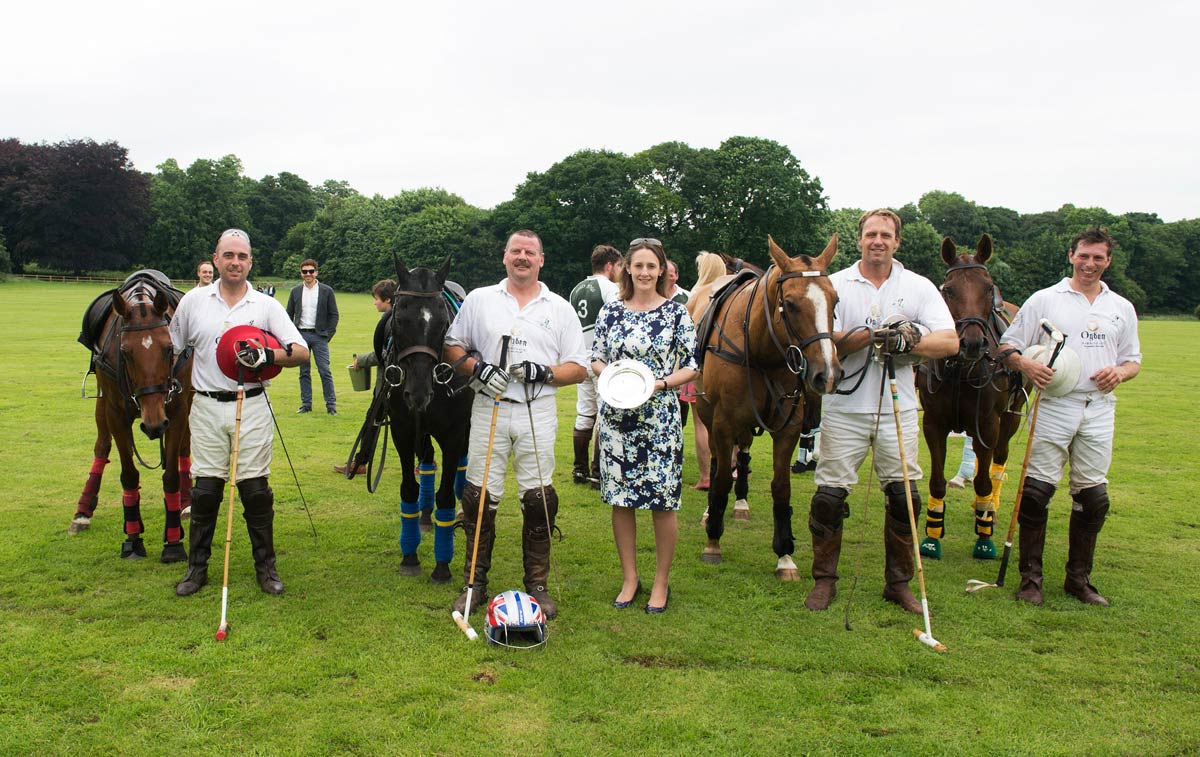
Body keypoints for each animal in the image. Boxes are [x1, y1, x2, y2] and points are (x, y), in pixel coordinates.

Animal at [70, 275, 193, 566]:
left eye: (169, 348)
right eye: (125, 352)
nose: (153, 424)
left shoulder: (177, 410)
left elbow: (171, 474)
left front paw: (173, 541)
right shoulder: (116, 413)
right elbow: (128, 475)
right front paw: (133, 538)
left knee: (185, 447)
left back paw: (185, 502)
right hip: (102, 402)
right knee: (102, 446)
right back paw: (82, 511)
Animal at [386, 257, 475, 583]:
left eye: (442, 323)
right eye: (399, 319)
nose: (419, 393)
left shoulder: (454, 432)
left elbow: (446, 495)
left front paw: (441, 565)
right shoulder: (402, 430)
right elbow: (409, 488)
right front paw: (410, 556)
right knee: (426, 461)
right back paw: (425, 516)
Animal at [696, 237, 844, 580]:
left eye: (835, 301)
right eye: (789, 304)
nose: (827, 374)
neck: (760, 347)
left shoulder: (788, 426)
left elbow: (781, 488)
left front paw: (785, 554)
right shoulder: (723, 422)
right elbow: (721, 479)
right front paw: (713, 541)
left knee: (743, 453)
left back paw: (741, 504)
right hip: (708, 414)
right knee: (716, 461)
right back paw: (712, 511)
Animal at [916, 237, 1022, 563]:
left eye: (988, 287)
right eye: (949, 290)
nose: (973, 343)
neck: (960, 369)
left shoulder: (987, 423)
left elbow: (984, 480)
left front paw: (984, 540)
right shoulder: (934, 424)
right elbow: (937, 481)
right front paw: (931, 538)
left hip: (1010, 418)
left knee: (998, 461)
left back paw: (990, 511)